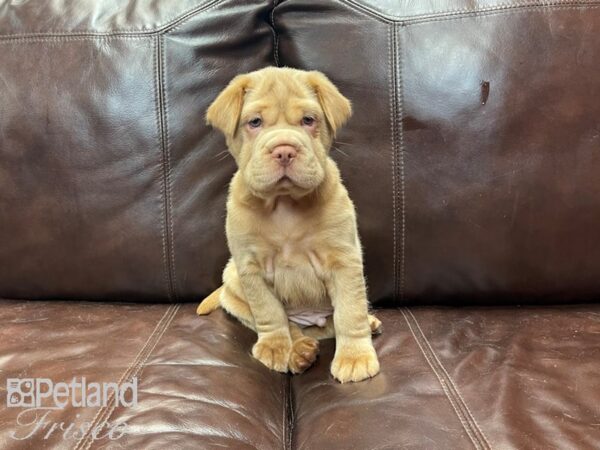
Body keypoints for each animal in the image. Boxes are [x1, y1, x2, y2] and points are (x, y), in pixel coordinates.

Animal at [199, 67, 382, 384]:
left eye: (308, 120)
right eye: (255, 122)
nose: (284, 151)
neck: (283, 205)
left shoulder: (344, 260)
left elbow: (350, 311)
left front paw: (354, 357)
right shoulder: (249, 268)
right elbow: (269, 312)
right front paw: (276, 348)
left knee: (334, 322)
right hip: (232, 283)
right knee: (286, 325)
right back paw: (299, 351)